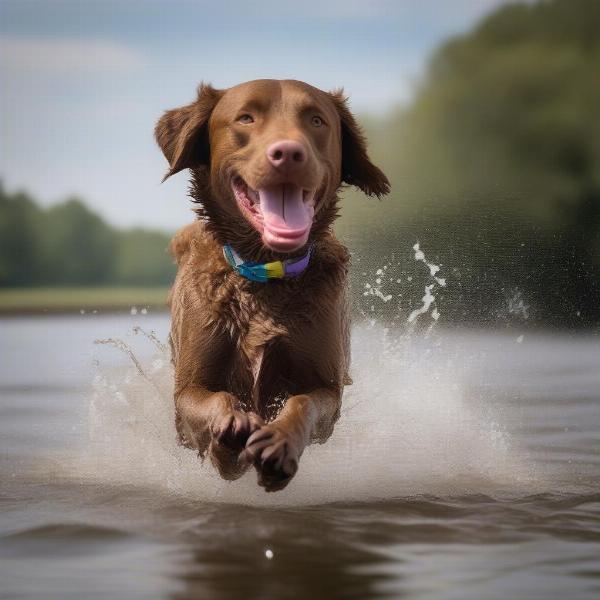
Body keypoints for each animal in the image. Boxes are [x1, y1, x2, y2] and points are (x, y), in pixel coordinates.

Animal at [155, 78, 390, 492]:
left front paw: (279, 445)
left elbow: (303, 404)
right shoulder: (187, 392)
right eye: (246, 118)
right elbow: (214, 401)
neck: (264, 272)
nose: (289, 153)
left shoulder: (328, 389)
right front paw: (231, 432)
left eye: (316, 120)